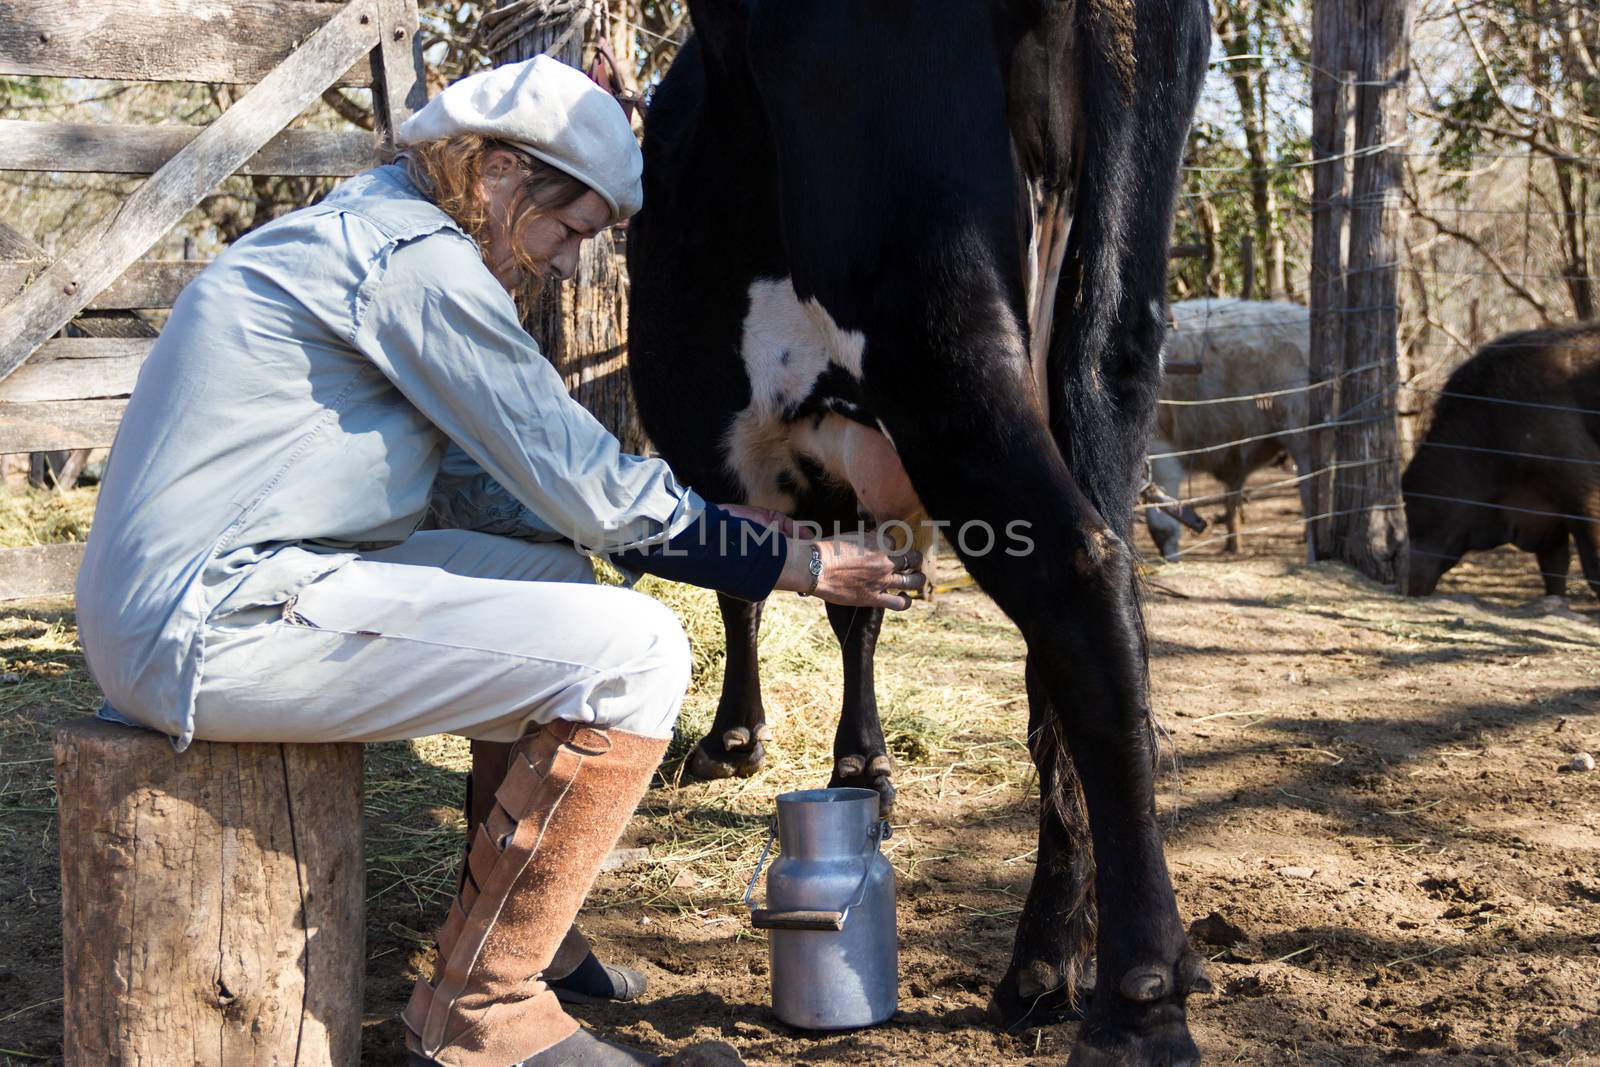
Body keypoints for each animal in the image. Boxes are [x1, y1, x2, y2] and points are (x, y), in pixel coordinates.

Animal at [624, 0, 1209, 1062]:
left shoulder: (727, 449)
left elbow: (745, 587)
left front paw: (737, 739)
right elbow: (854, 608)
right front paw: (861, 766)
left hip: (930, 324)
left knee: (1077, 578)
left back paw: (1135, 1002)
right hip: (1109, 339)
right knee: (1096, 629)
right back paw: (1042, 963)